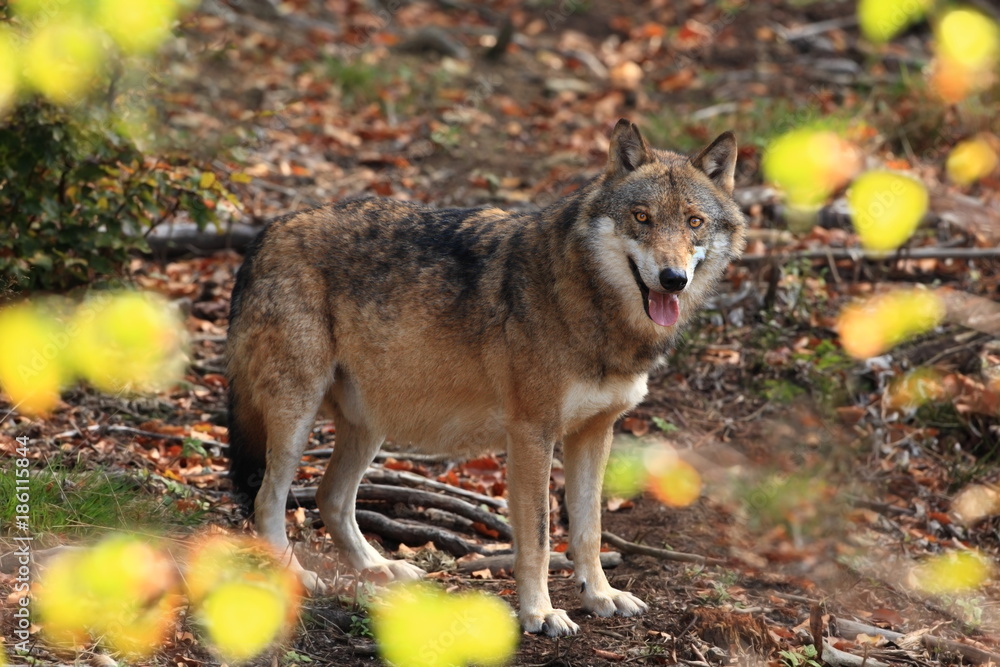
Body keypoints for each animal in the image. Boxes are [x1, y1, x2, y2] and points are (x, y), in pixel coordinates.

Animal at [226, 119, 747, 636]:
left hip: (370, 423)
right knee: (267, 501)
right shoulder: (532, 434)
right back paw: (296, 576)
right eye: (641, 217)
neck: (588, 301)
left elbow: (589, 530)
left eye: (694, 222)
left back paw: (380, 568)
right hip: (297, 419)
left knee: (330, 498)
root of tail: (267, 232)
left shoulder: (595, 432)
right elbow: (538, 538)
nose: (673, 278)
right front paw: (540, 613)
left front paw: (600, 596)